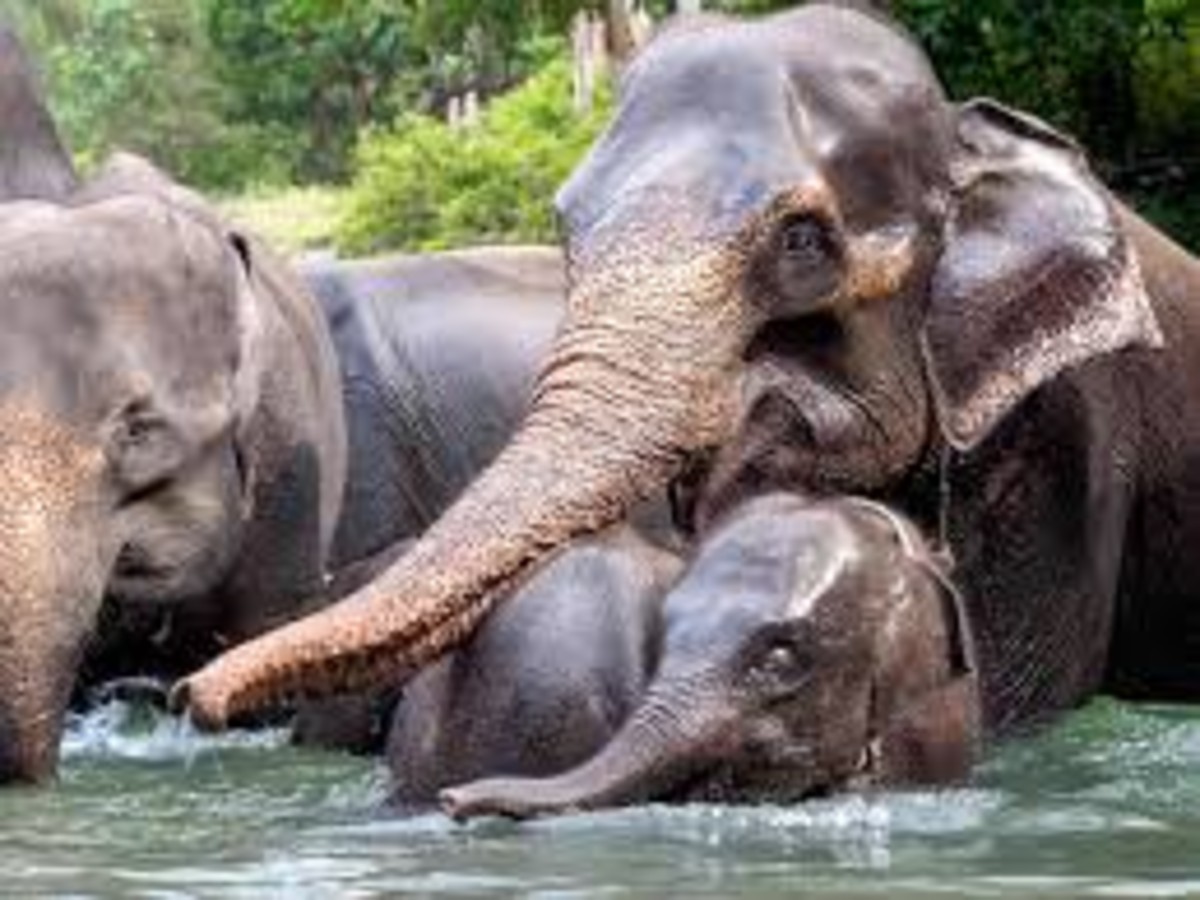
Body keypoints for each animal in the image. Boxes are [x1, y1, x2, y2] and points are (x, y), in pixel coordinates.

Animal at [179, 2, 1200, 753]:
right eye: (567, 223)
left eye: (802, 242)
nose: (197, 693)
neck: (966, 137)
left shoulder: (1069, 434)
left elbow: (1013, 701)